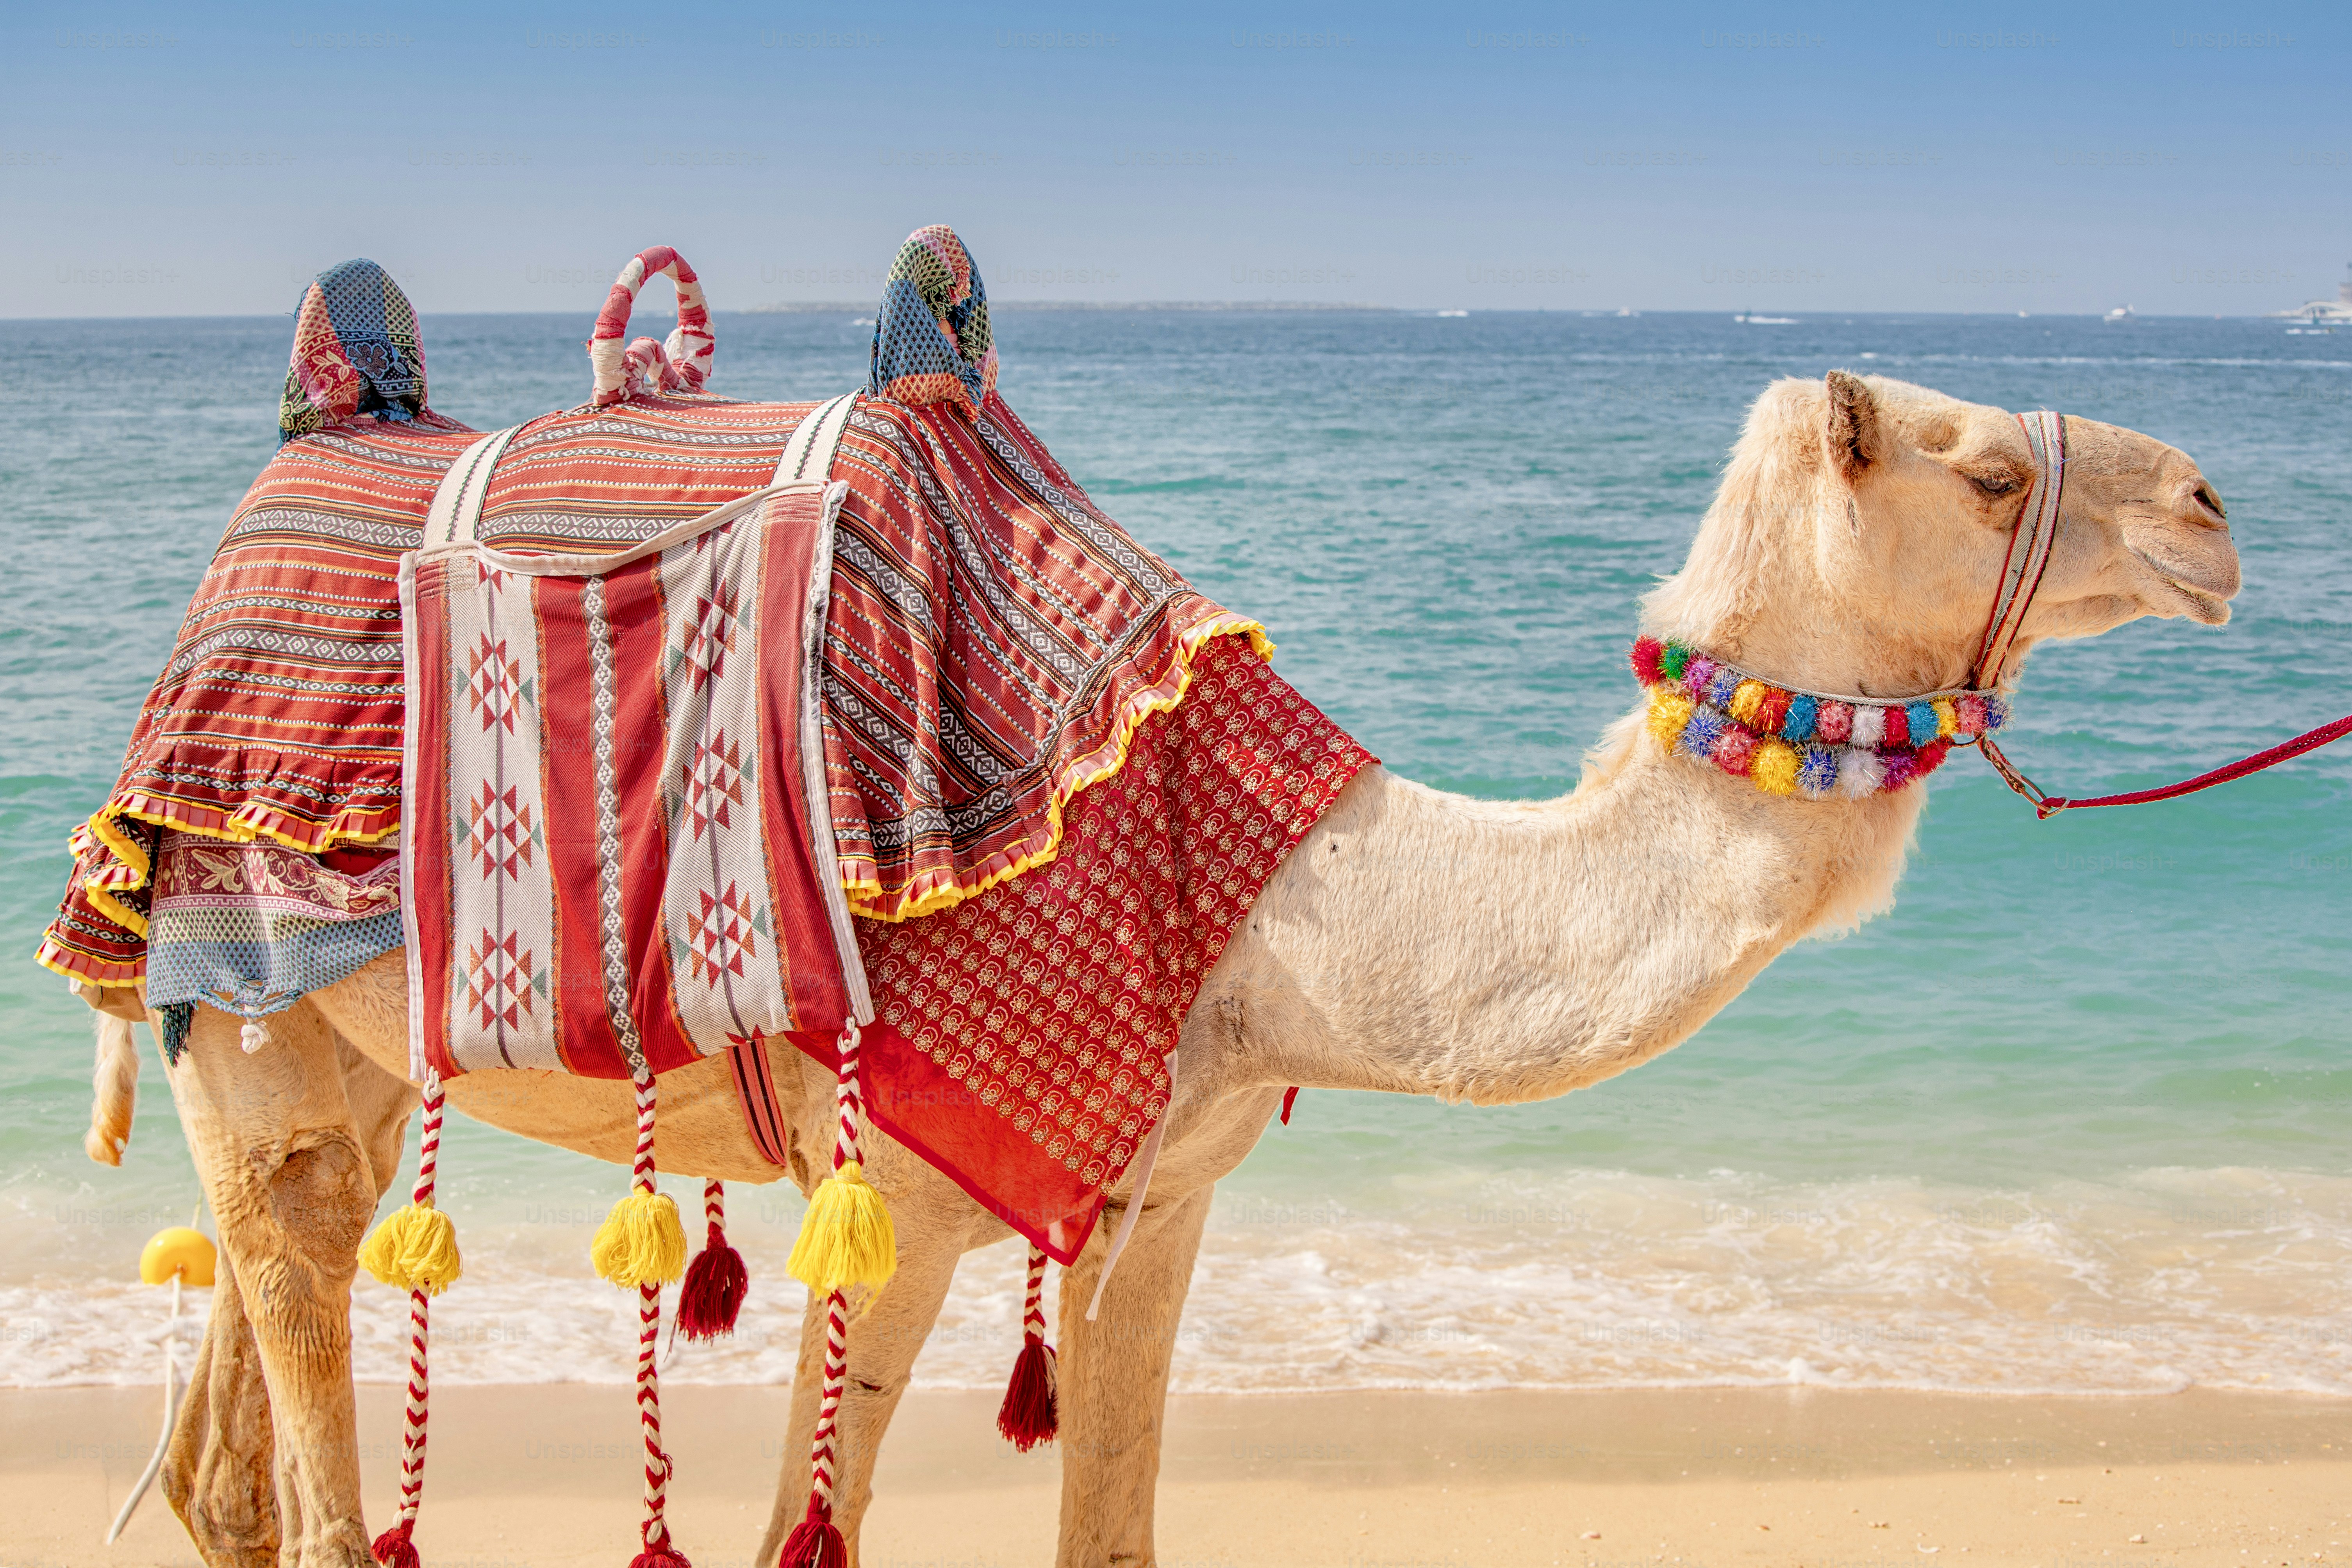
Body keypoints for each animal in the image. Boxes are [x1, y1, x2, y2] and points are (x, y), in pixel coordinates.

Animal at [76, 370, 2240, 1568]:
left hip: (337, 1062)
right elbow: (805, 1529)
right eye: (1977, 471)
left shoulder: (1164, 1192)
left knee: (235, 1430)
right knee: (306, 1437)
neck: (1268, 896)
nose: (2215, 509)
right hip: (249, 990)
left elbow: (1110, 1522)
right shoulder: (905, 1188)